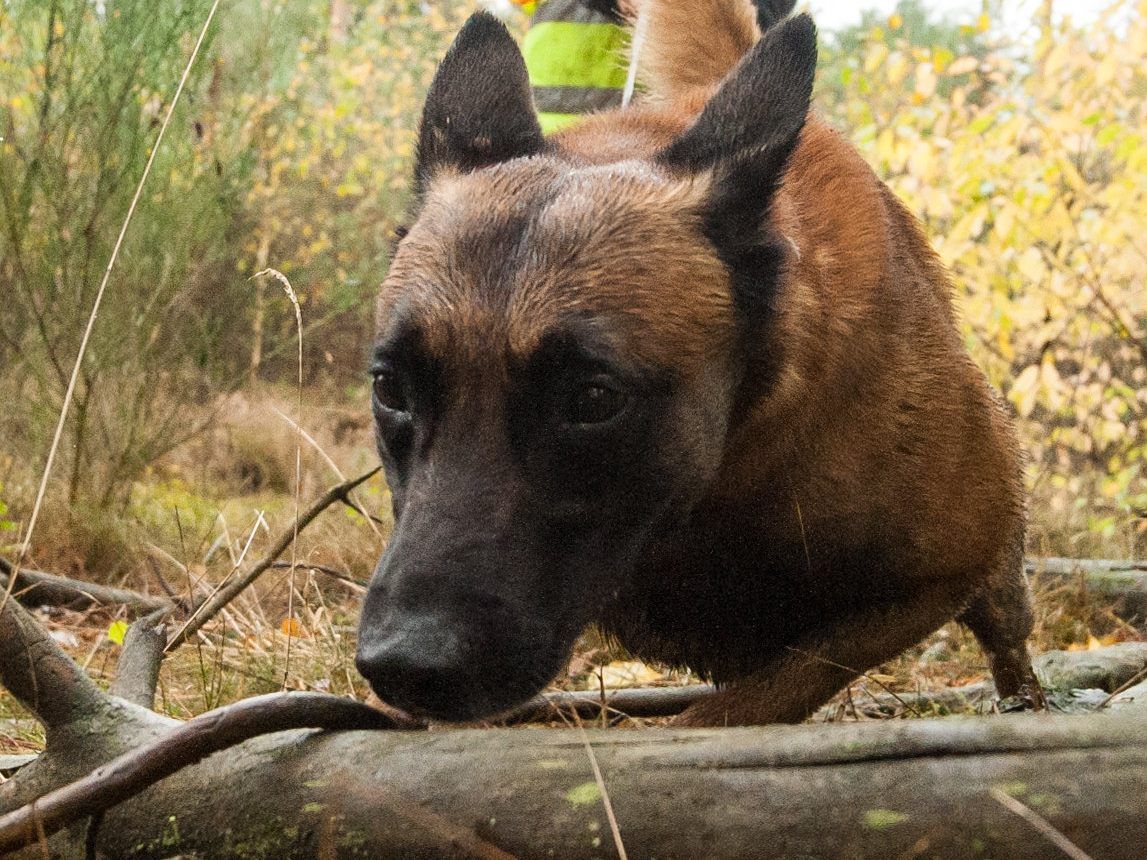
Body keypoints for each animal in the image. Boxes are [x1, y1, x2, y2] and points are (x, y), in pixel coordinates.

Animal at [353, 0, 1046, 729]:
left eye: (593, 400)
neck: (723, 474)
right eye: (390, 388)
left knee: (1007, 634)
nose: (404, 665)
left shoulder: (942, 570)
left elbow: (775, 685)